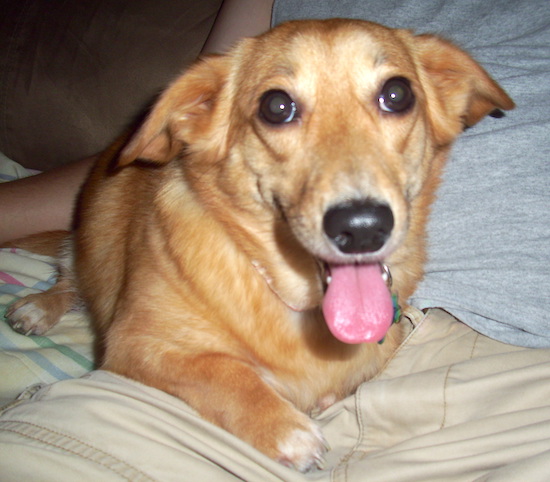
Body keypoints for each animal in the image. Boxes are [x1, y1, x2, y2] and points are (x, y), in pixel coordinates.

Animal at [4, 20, 516, 472]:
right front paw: (284, 428)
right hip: (85, 248)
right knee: (68, 278)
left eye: (397, 94)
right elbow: (223, 372)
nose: (363, 227)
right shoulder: (134, 345)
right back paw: (37, 307)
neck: (296, 301)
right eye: (276, 106)